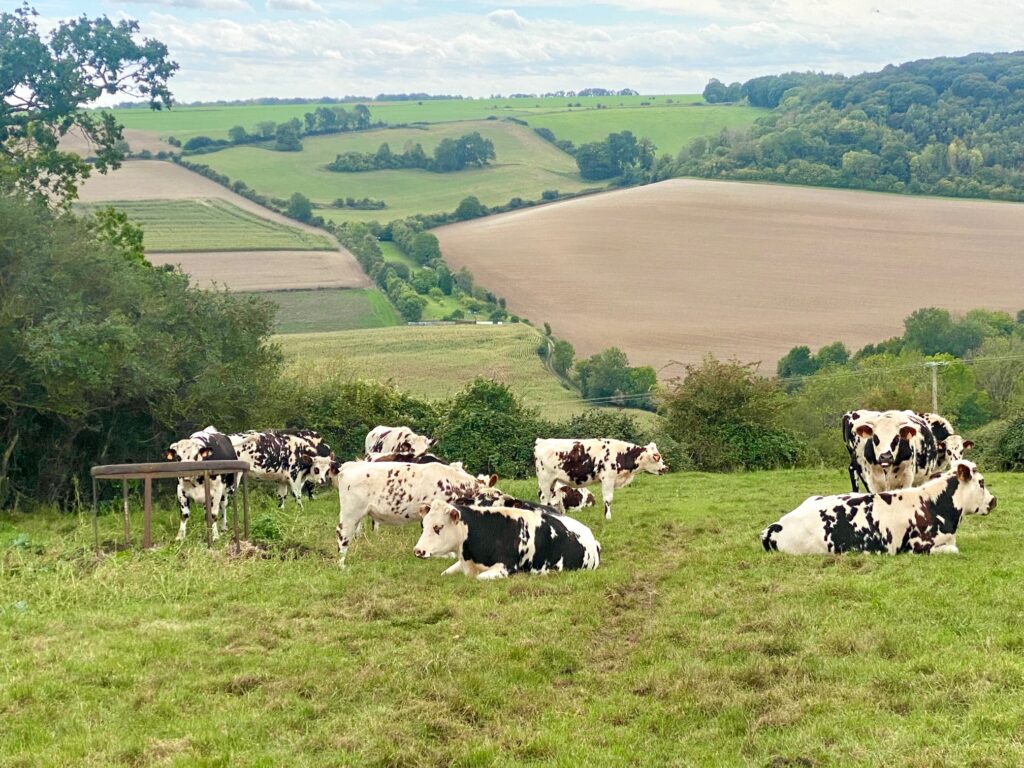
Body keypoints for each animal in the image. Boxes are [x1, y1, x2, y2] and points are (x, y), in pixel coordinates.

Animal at [414, 499, 601, 580]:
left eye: (438, 527)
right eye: (423, 525)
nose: (418, 551)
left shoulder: (507, 567)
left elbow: (480, 578)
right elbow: (444, 573)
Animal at [534, 438, 668, 520]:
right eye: (656, 456)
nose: (665, 468)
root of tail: (541, 441)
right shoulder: (608, 479)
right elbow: (608, 499)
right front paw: (608, 517)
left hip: (552, 482)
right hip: (545, 480)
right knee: (544, 498)